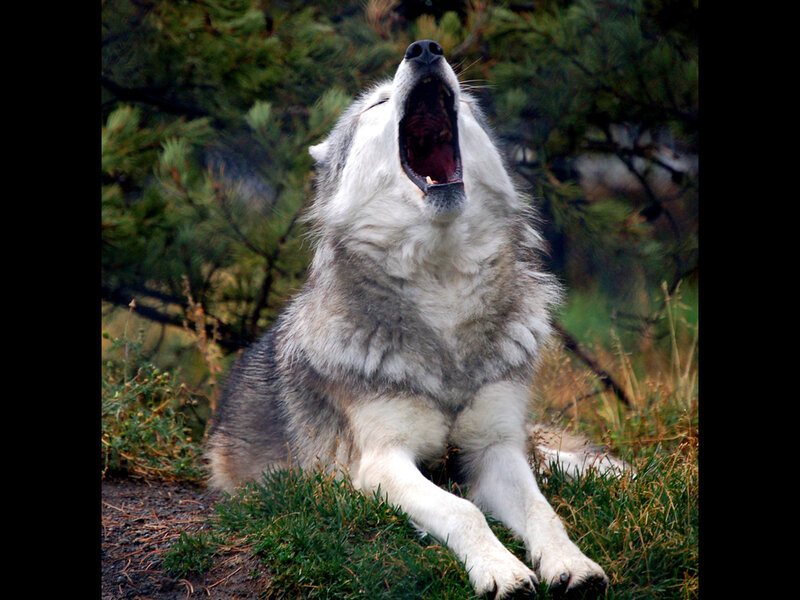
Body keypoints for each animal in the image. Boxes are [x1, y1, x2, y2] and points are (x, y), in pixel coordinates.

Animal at [207, 40, 610, 599]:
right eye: (377, 104)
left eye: (466, 105)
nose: (424, 49)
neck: (442, 293)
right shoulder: (381, 464)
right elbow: (464, 512)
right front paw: (503, 572)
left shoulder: (493, 448)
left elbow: (543, 513)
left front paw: (573, 565)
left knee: (555, 457)